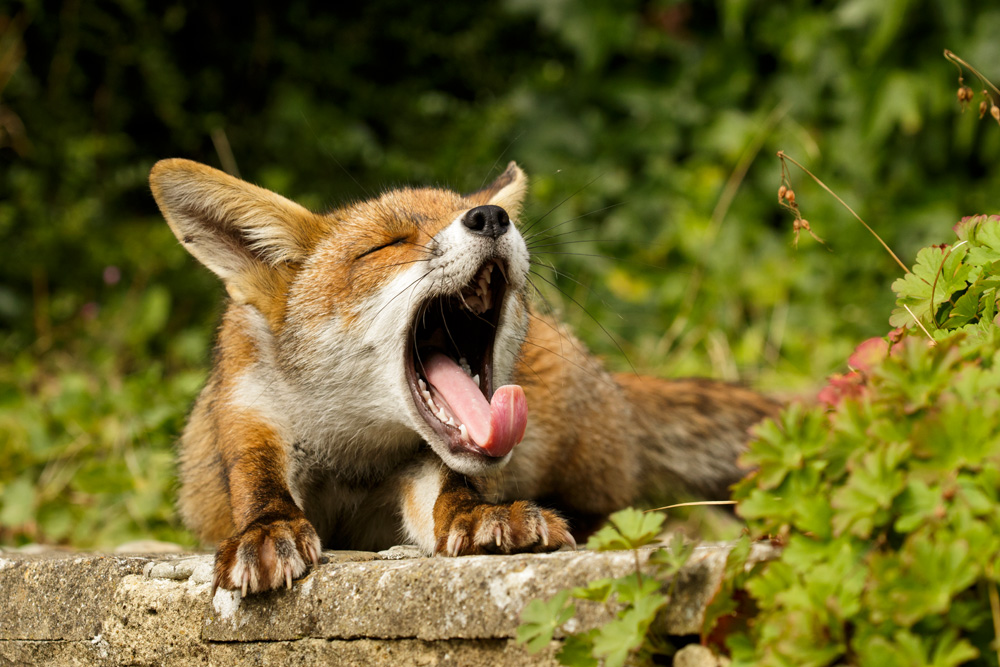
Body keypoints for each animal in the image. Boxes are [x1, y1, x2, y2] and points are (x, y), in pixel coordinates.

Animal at [148, 158, 779, 596]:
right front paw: (265, 530)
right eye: (385, 245)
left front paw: (481, 517)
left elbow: (451, 494)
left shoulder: (421, 465)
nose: (492, 216)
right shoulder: (248, 409)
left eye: (473, 213)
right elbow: (258, 484)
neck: (356, 447)